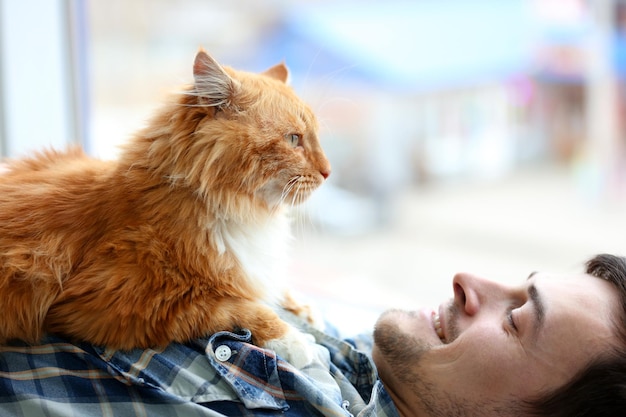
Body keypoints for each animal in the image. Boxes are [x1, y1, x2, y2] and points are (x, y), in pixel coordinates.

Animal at [0, 50, 332, 366]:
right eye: (294, 139)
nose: (328, 172)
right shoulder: (121, 305)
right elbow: (240, 308)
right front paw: (295, 341)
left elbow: (268, 287)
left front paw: (304, 309)